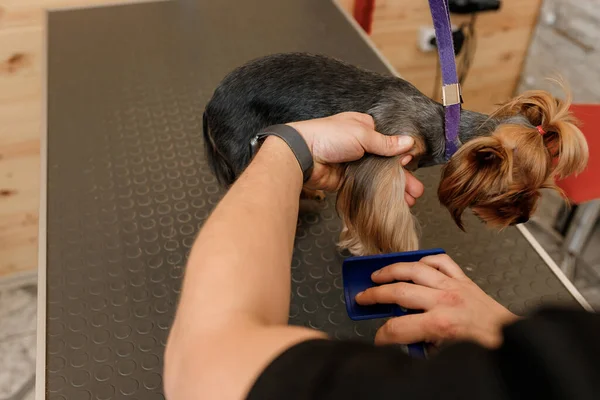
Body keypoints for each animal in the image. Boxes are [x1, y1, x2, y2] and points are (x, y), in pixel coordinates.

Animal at [204, 53, 588, 255]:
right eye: (516, 194)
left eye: (539, 191)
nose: (523, 219)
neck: (443, 126)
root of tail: (210, 105)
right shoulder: (382, 149)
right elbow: (385, 216)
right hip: (242, 148)